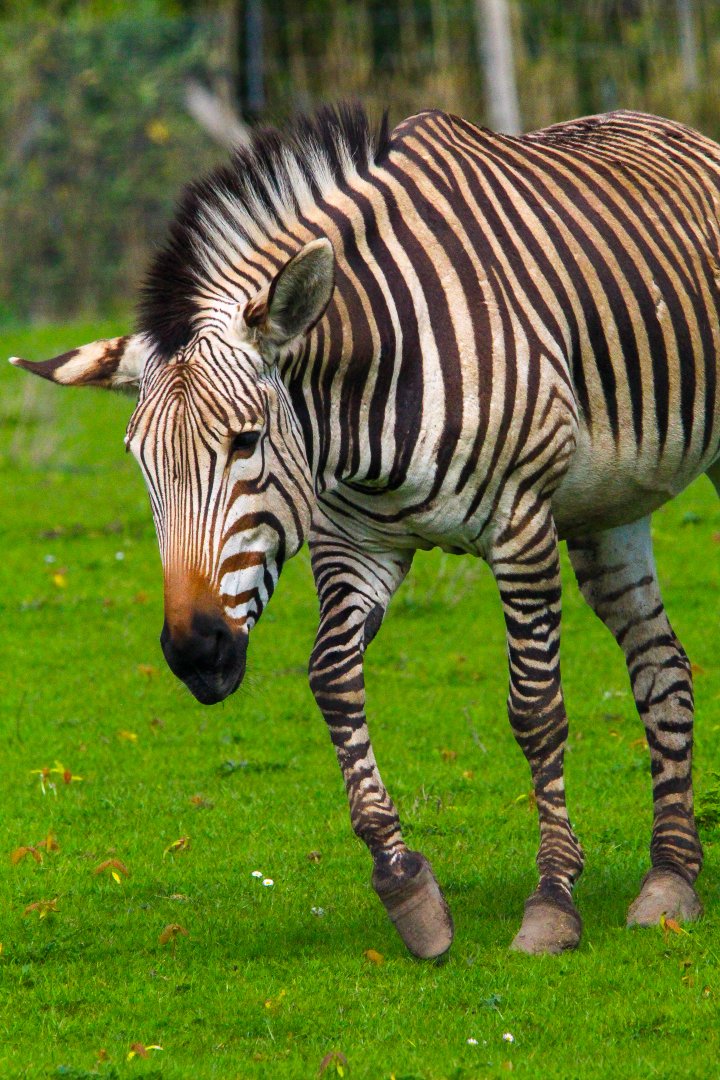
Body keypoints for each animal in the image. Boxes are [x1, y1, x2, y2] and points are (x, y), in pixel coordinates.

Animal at [12, 103, 720, 959]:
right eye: (140, 466)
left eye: (246, 442)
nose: (194, 651)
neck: (362, 398)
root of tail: (670, 124)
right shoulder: (355, 546)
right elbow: (331, 680)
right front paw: (406, 886)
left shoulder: (521, 525)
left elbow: (536, 709)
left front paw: (552, 899)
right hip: (606, 508)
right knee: (662, 663)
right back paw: (671, 877)